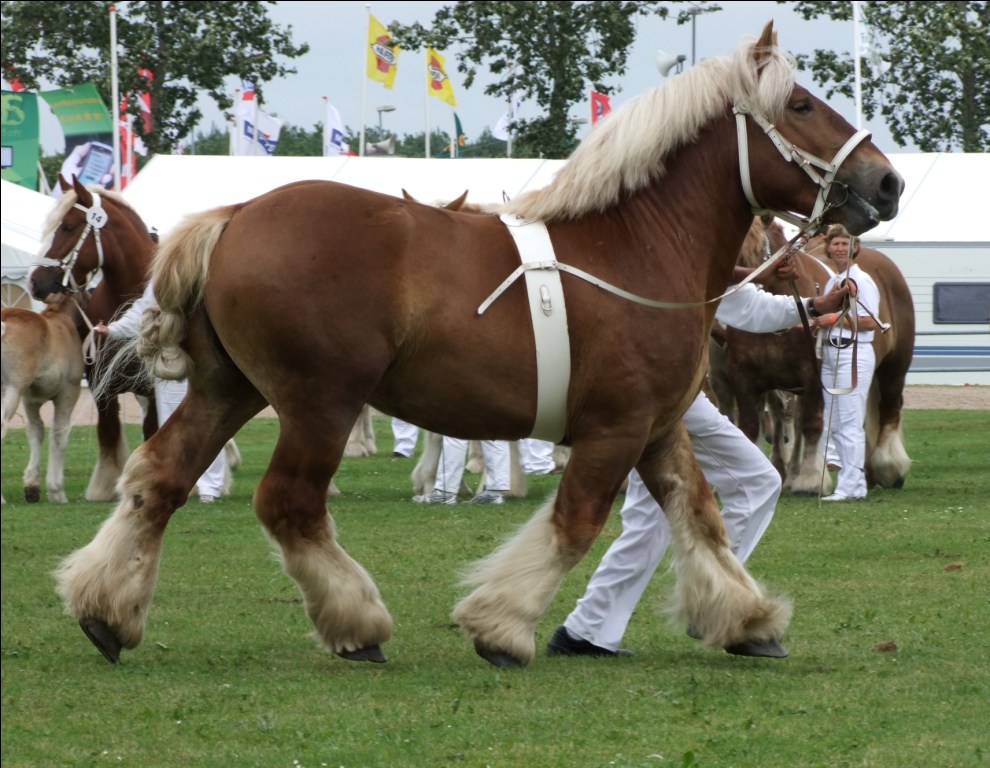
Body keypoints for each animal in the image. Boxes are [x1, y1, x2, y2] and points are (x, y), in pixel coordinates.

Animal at [0, 290, 86, 504]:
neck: (63, 319)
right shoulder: (68, 393)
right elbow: (60, 434)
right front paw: (57, 491)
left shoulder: (30, 400)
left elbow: (35, 431)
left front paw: (32, 485)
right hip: (11, 390)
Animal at [29, 175, 158, 500]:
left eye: (68, 226)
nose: (35, 282)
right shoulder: (102, 385)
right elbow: (108, 432)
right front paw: (105, 487)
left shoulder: (152, 388)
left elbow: (152, 431)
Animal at [56, 24, 908, 668]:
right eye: (800, 103)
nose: (889, 182)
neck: (635, 245)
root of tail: (233, 216)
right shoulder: (614, 429)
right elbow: (576, 521)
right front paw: (500, 625)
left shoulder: (658, 427)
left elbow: (699, 516)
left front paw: (745, 617)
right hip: (318, 403)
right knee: (288, 503)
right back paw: (357, 625)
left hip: (231, 389)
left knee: (159, 478)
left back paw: (105, 611)